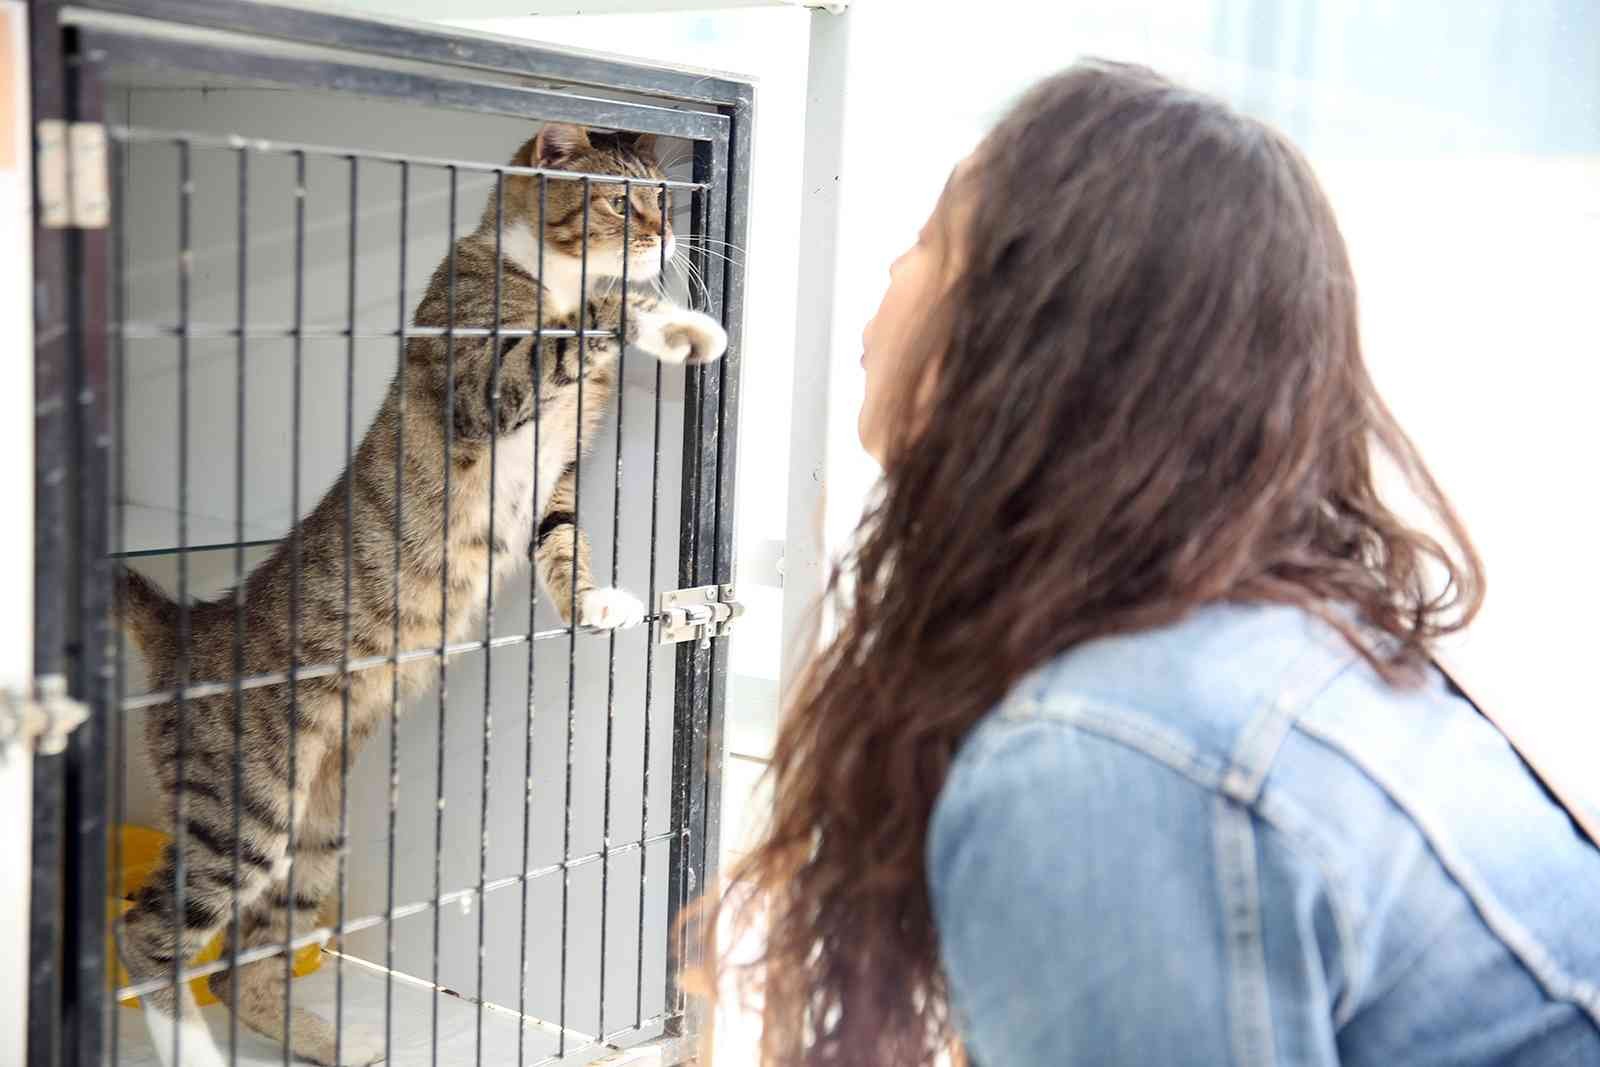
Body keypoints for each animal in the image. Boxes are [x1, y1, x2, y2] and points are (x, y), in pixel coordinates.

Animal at [118, 123, 726, 1067]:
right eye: (621, 202)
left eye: (665, 196)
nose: (667, 237)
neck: (546, 272)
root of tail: (190, 621)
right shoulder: (483, 379)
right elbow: (580, 325)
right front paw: (676, 325)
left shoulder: (553, 483)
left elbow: (562, 541)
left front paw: (594, 606)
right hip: (239, 810)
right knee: (150, 938)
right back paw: (193, 1048)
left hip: (314, 831)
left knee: (243, 964)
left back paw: (334, 1043)